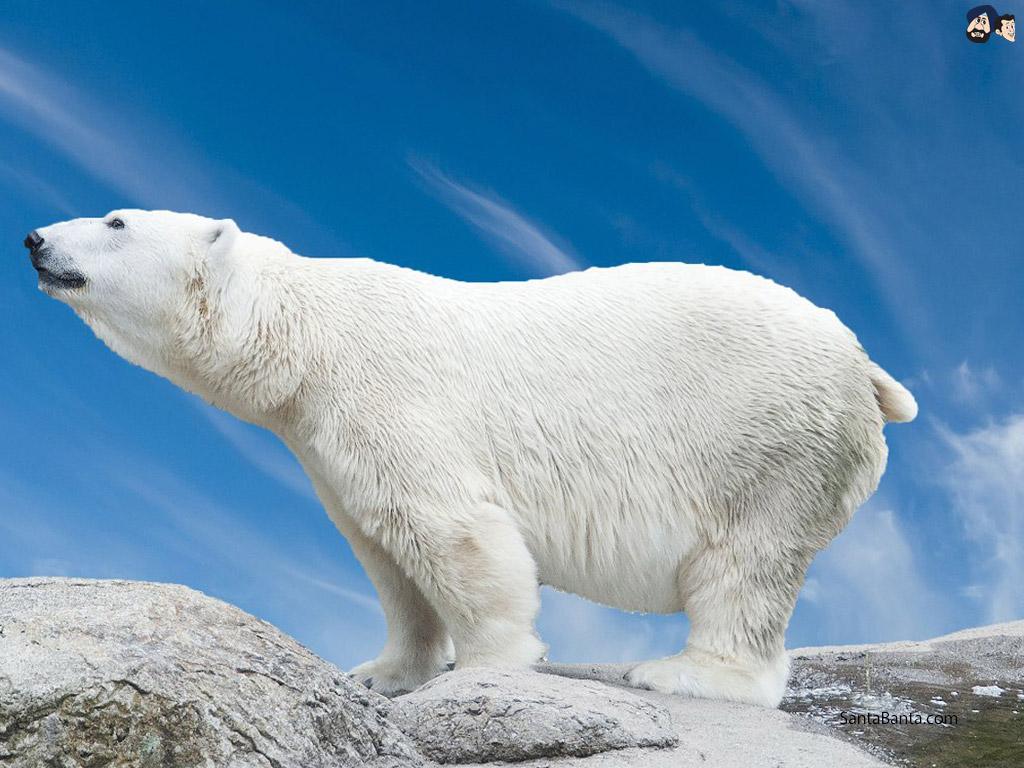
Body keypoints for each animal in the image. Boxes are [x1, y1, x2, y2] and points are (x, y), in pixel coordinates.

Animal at [24, 210, 917, 707]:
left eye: (116, 222)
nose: (32, 238)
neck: (305, 335)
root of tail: (867, 368)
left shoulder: (391, 398)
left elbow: (451, 531)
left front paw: (493, 665)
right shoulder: (324, 440)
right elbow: (382, 552)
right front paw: (385, 671)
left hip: (767, 444)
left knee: (743, 566)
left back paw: (686, 674)